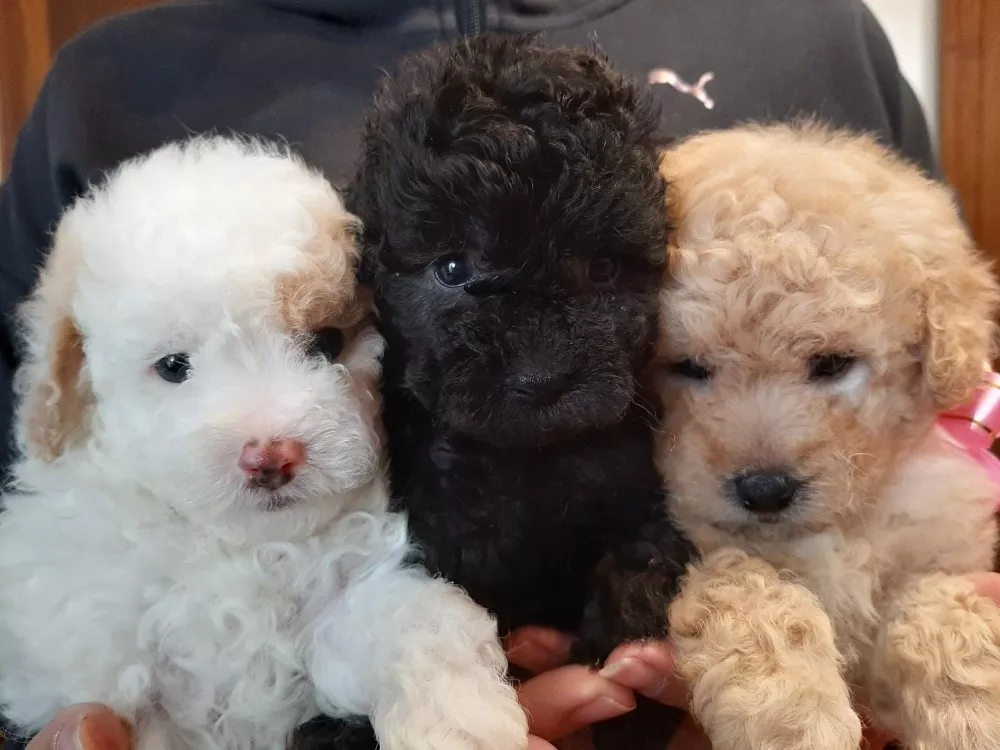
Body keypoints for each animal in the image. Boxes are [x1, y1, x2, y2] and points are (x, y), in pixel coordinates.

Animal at [0, 137, 532, 750]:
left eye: (325, 342)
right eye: (174, 367)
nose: (271, 458)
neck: (243, 551)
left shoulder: (337, 600)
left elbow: (413, 621)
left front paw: (461, 718)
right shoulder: (116, 665)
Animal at [294, 35, 696, 750]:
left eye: (601, 268)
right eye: (453, 268)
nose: (541, 378)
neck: (523, 460)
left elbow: (649, 544)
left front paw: (626, 640)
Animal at [656, 123, 1000, 750]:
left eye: (833, 364)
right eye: (688, 367)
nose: (764, 490)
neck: (837, 526)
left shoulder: (942, 552)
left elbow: (941, 610)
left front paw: (972, 716)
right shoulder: (708, 549)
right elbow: (750, 592)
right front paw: (795, 718)